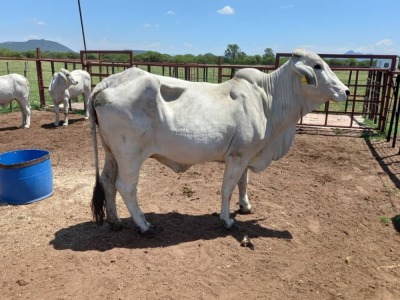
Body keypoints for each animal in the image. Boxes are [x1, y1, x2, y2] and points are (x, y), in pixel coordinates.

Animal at [88, 48, 350, 237]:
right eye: (317, 65)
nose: (346, 91)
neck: (268, 99)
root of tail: (110, 81)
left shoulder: (247, 154)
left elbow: (244, 182)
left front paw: (245, 206)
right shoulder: (237, 156)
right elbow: (228, 188)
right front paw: (227, 220)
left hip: (111, 152)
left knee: (108, 181)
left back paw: (115, 221)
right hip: (130, 155)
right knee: (126, 187)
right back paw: (143, 225)